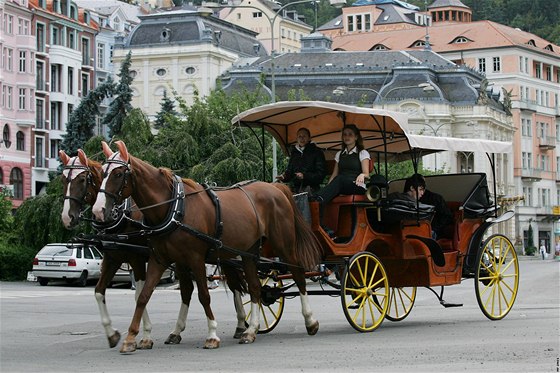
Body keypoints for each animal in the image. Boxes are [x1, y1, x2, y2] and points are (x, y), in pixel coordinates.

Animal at [61, 148, 200, 348]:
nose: (67, 217)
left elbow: (139, 294)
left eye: (81, 179)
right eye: (63, 179)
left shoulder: (137, 259)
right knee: (188, 289)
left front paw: (145, 335)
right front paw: (112, 334)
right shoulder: (112, 259)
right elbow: (99, 292)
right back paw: (176, 331)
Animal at [90, 140, 322, 352]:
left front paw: (212, 334)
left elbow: (203, 295)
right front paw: (131, 338)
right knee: (255, 287)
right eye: (102, 173)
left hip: (284, 245)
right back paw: (250, 330)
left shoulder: (195, 259)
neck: (174, 207)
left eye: (118, 174)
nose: (98, 210)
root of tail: (275, 187)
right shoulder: (160, 259)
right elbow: (144, 296)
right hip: (249, 252)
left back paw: (310, 320)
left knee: (298, 275)